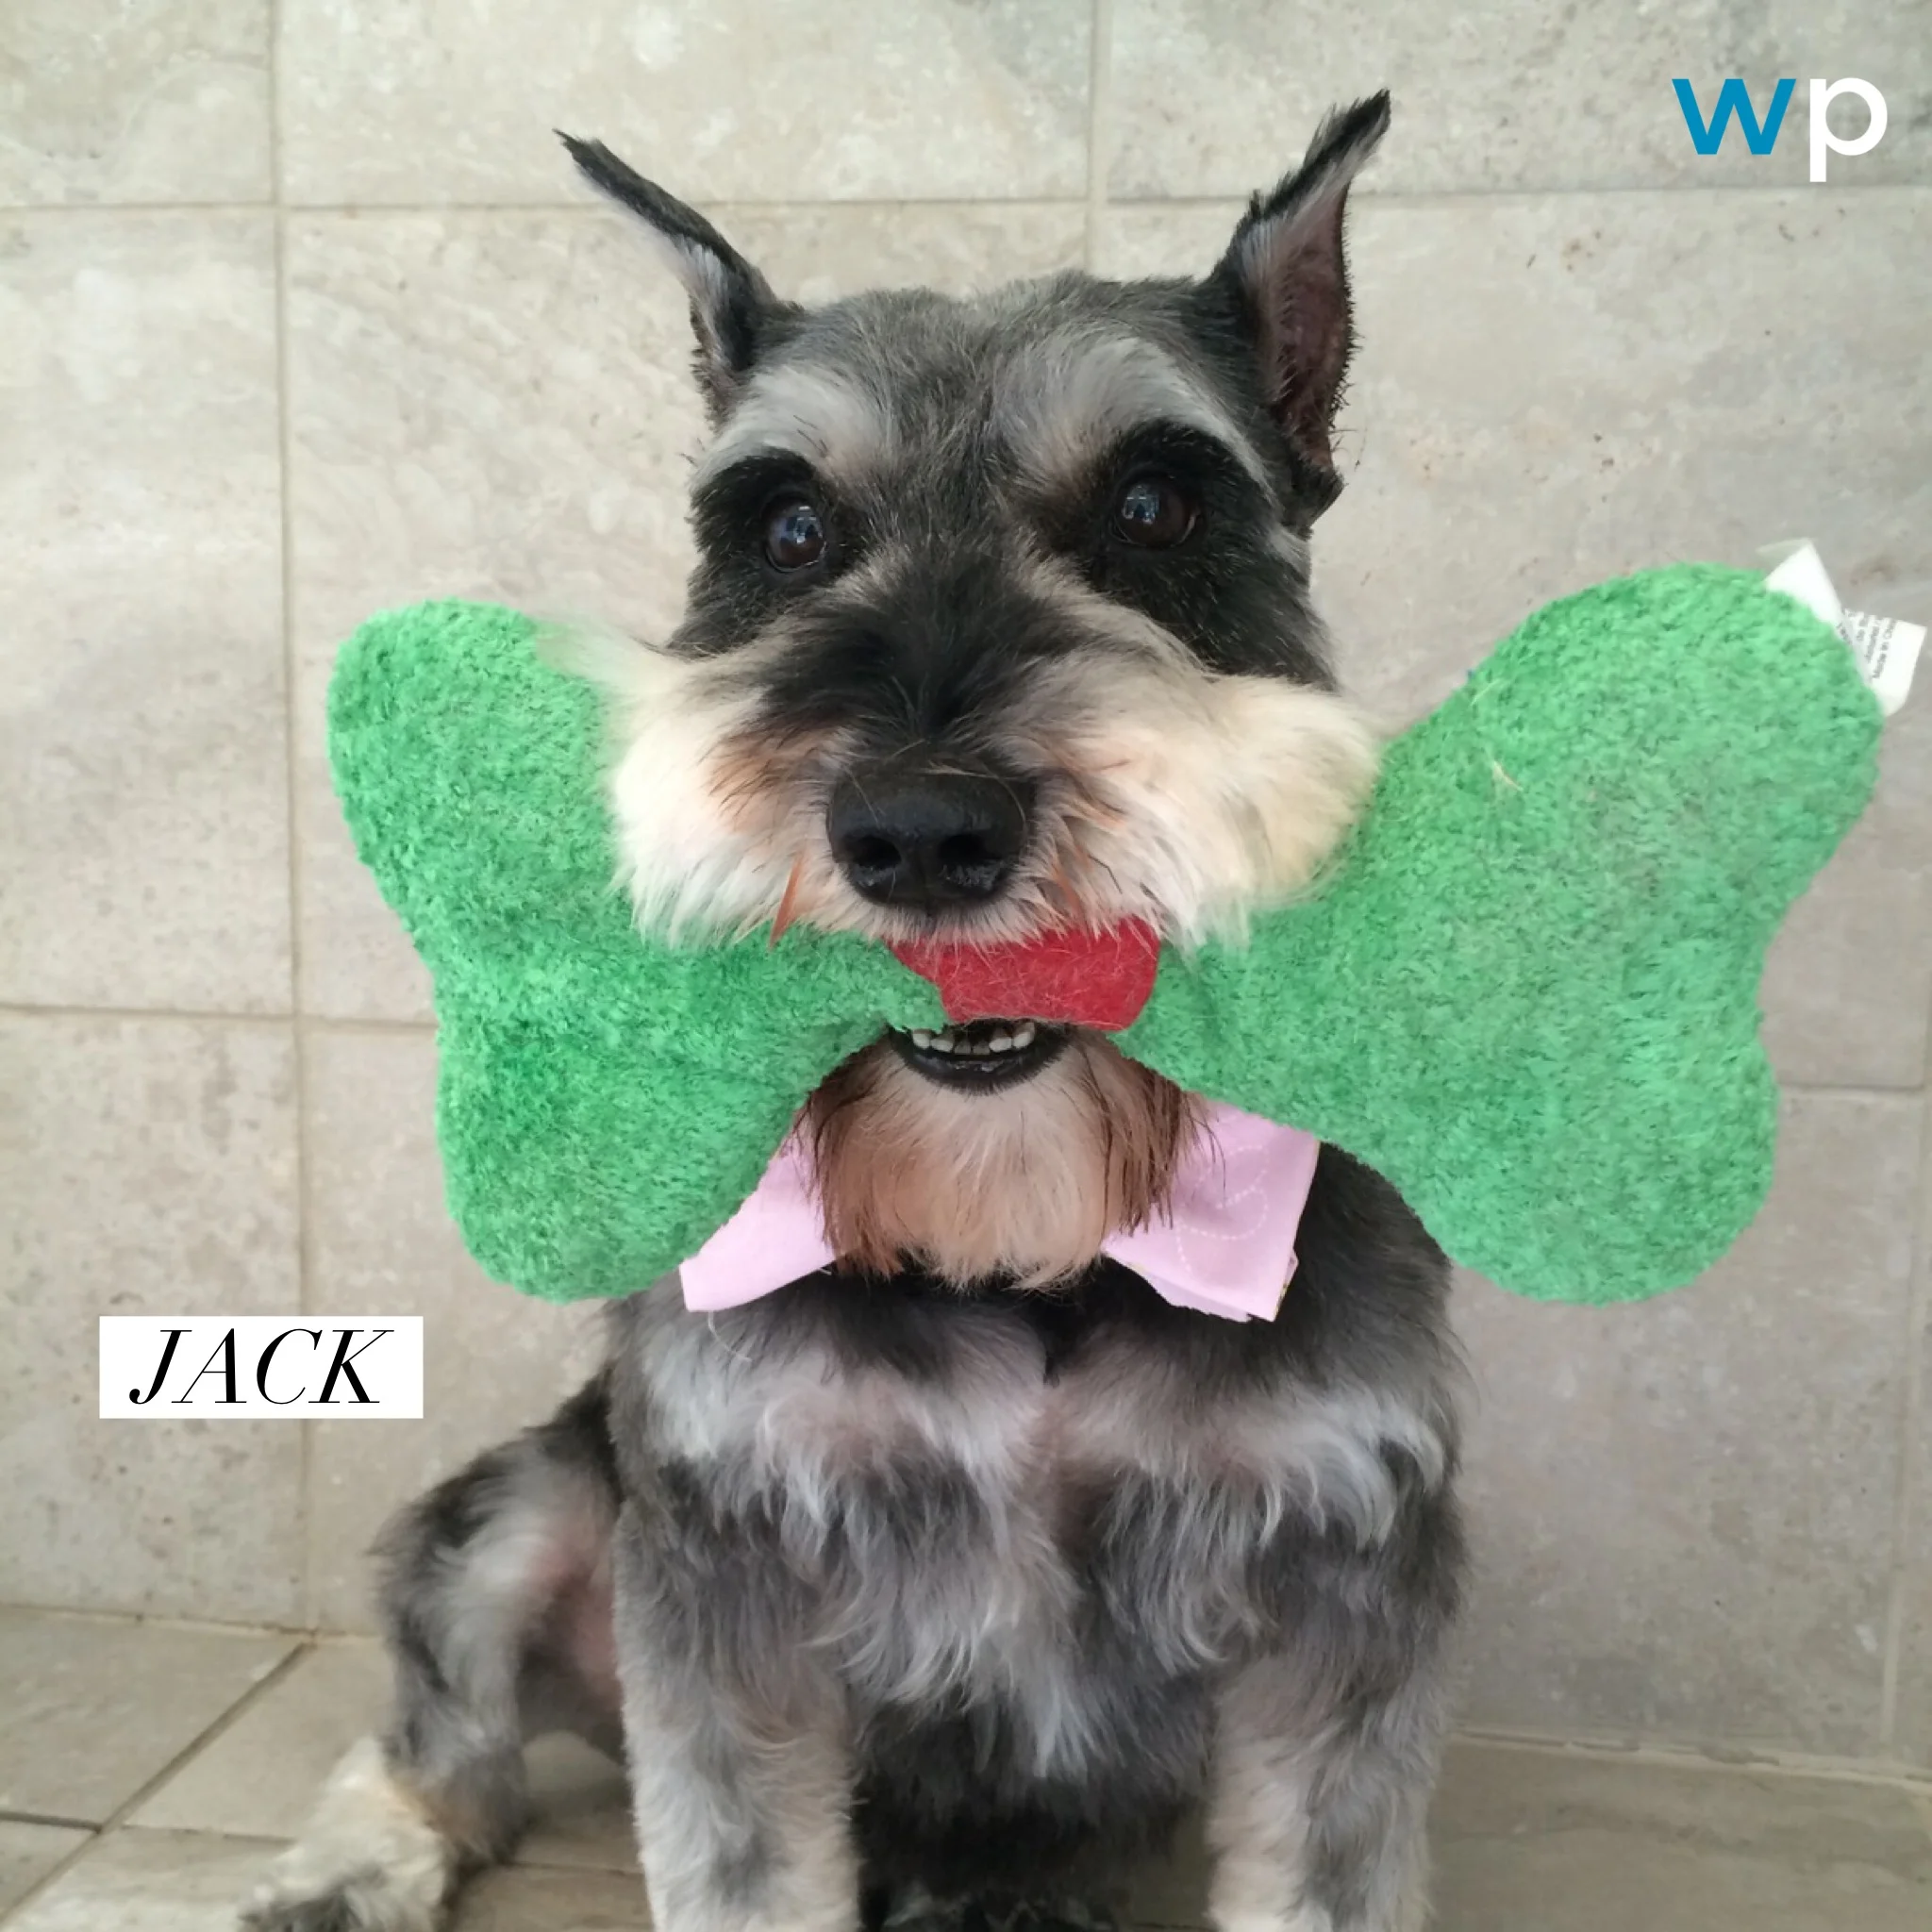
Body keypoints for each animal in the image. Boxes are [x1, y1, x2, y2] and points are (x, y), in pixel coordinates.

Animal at [244, 92, 1465, 1932]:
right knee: (445, 1738)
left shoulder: (1341, 1567)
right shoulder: (727, 1545)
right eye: (786, 531)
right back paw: (347, 1863)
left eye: (1156, 504)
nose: (920, 830)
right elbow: (742, 1862)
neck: (1019, 1232)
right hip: (533, 1504)